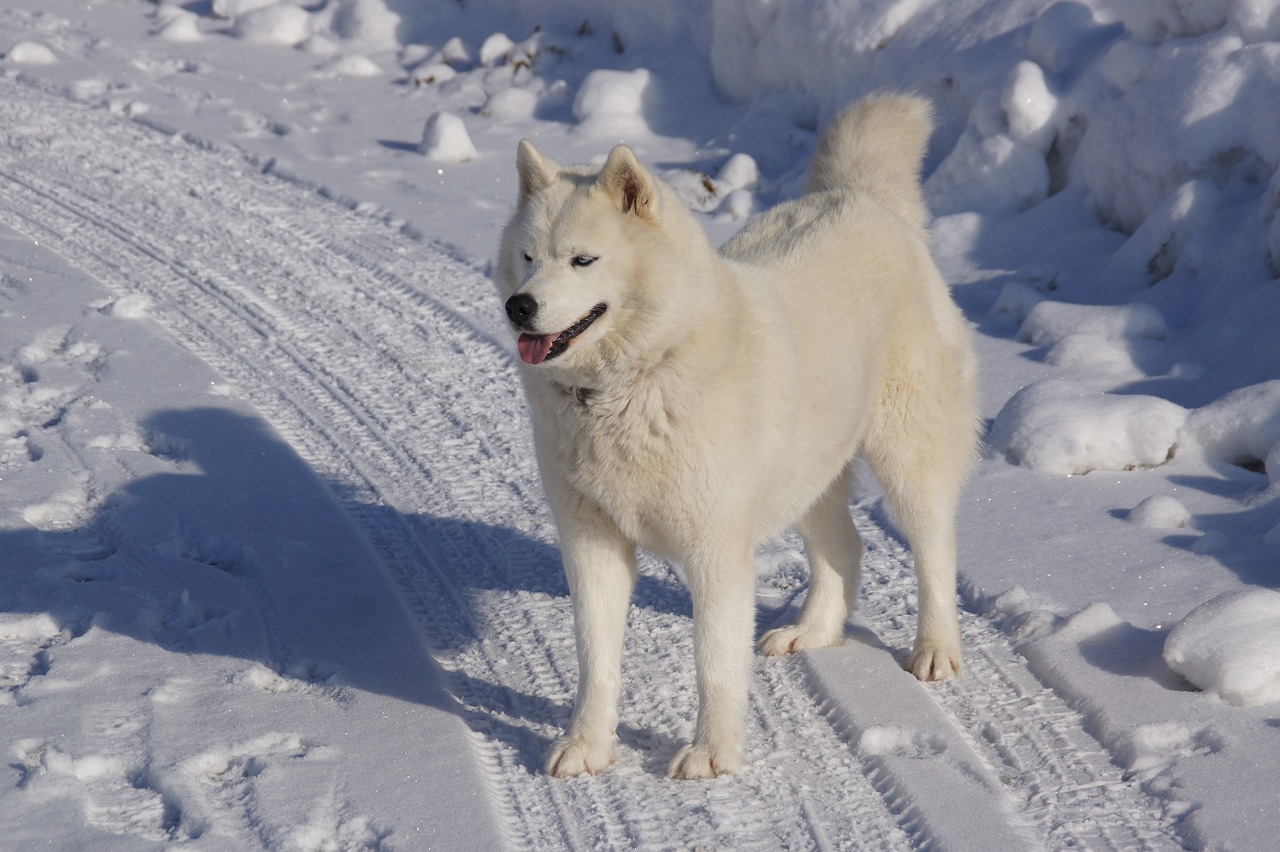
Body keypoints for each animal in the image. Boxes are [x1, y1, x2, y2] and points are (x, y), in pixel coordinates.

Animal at [494, 92, 972, 777]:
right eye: (528, 257)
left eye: (583, 260)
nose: (519, 307)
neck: (632, 383)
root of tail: (862, 198)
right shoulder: (591, 544)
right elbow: (595, 660)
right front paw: (587, 746)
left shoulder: (716, 552)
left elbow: (714, 663)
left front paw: (711, 755)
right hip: (810, 473)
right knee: (845, 549)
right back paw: (812, 632)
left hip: (908, 456)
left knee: (935, 553)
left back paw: (935, 650)